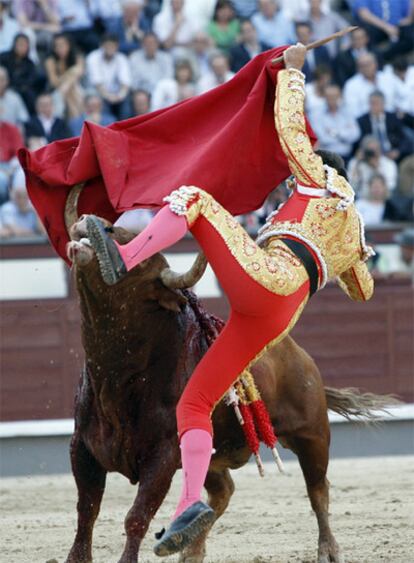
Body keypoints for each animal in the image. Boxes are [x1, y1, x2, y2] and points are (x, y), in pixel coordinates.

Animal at [64, 186, 392, 563]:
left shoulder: (162, 457)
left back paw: (328, 550)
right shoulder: (82, 448)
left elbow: (136, 517)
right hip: (219, 455)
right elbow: (86, 513)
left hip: (313, 434)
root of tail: (300, 355)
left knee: (318, 490)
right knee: (222, 492)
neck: (116, 374)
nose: (94, 222)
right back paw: (190, 550)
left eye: (142, 263)